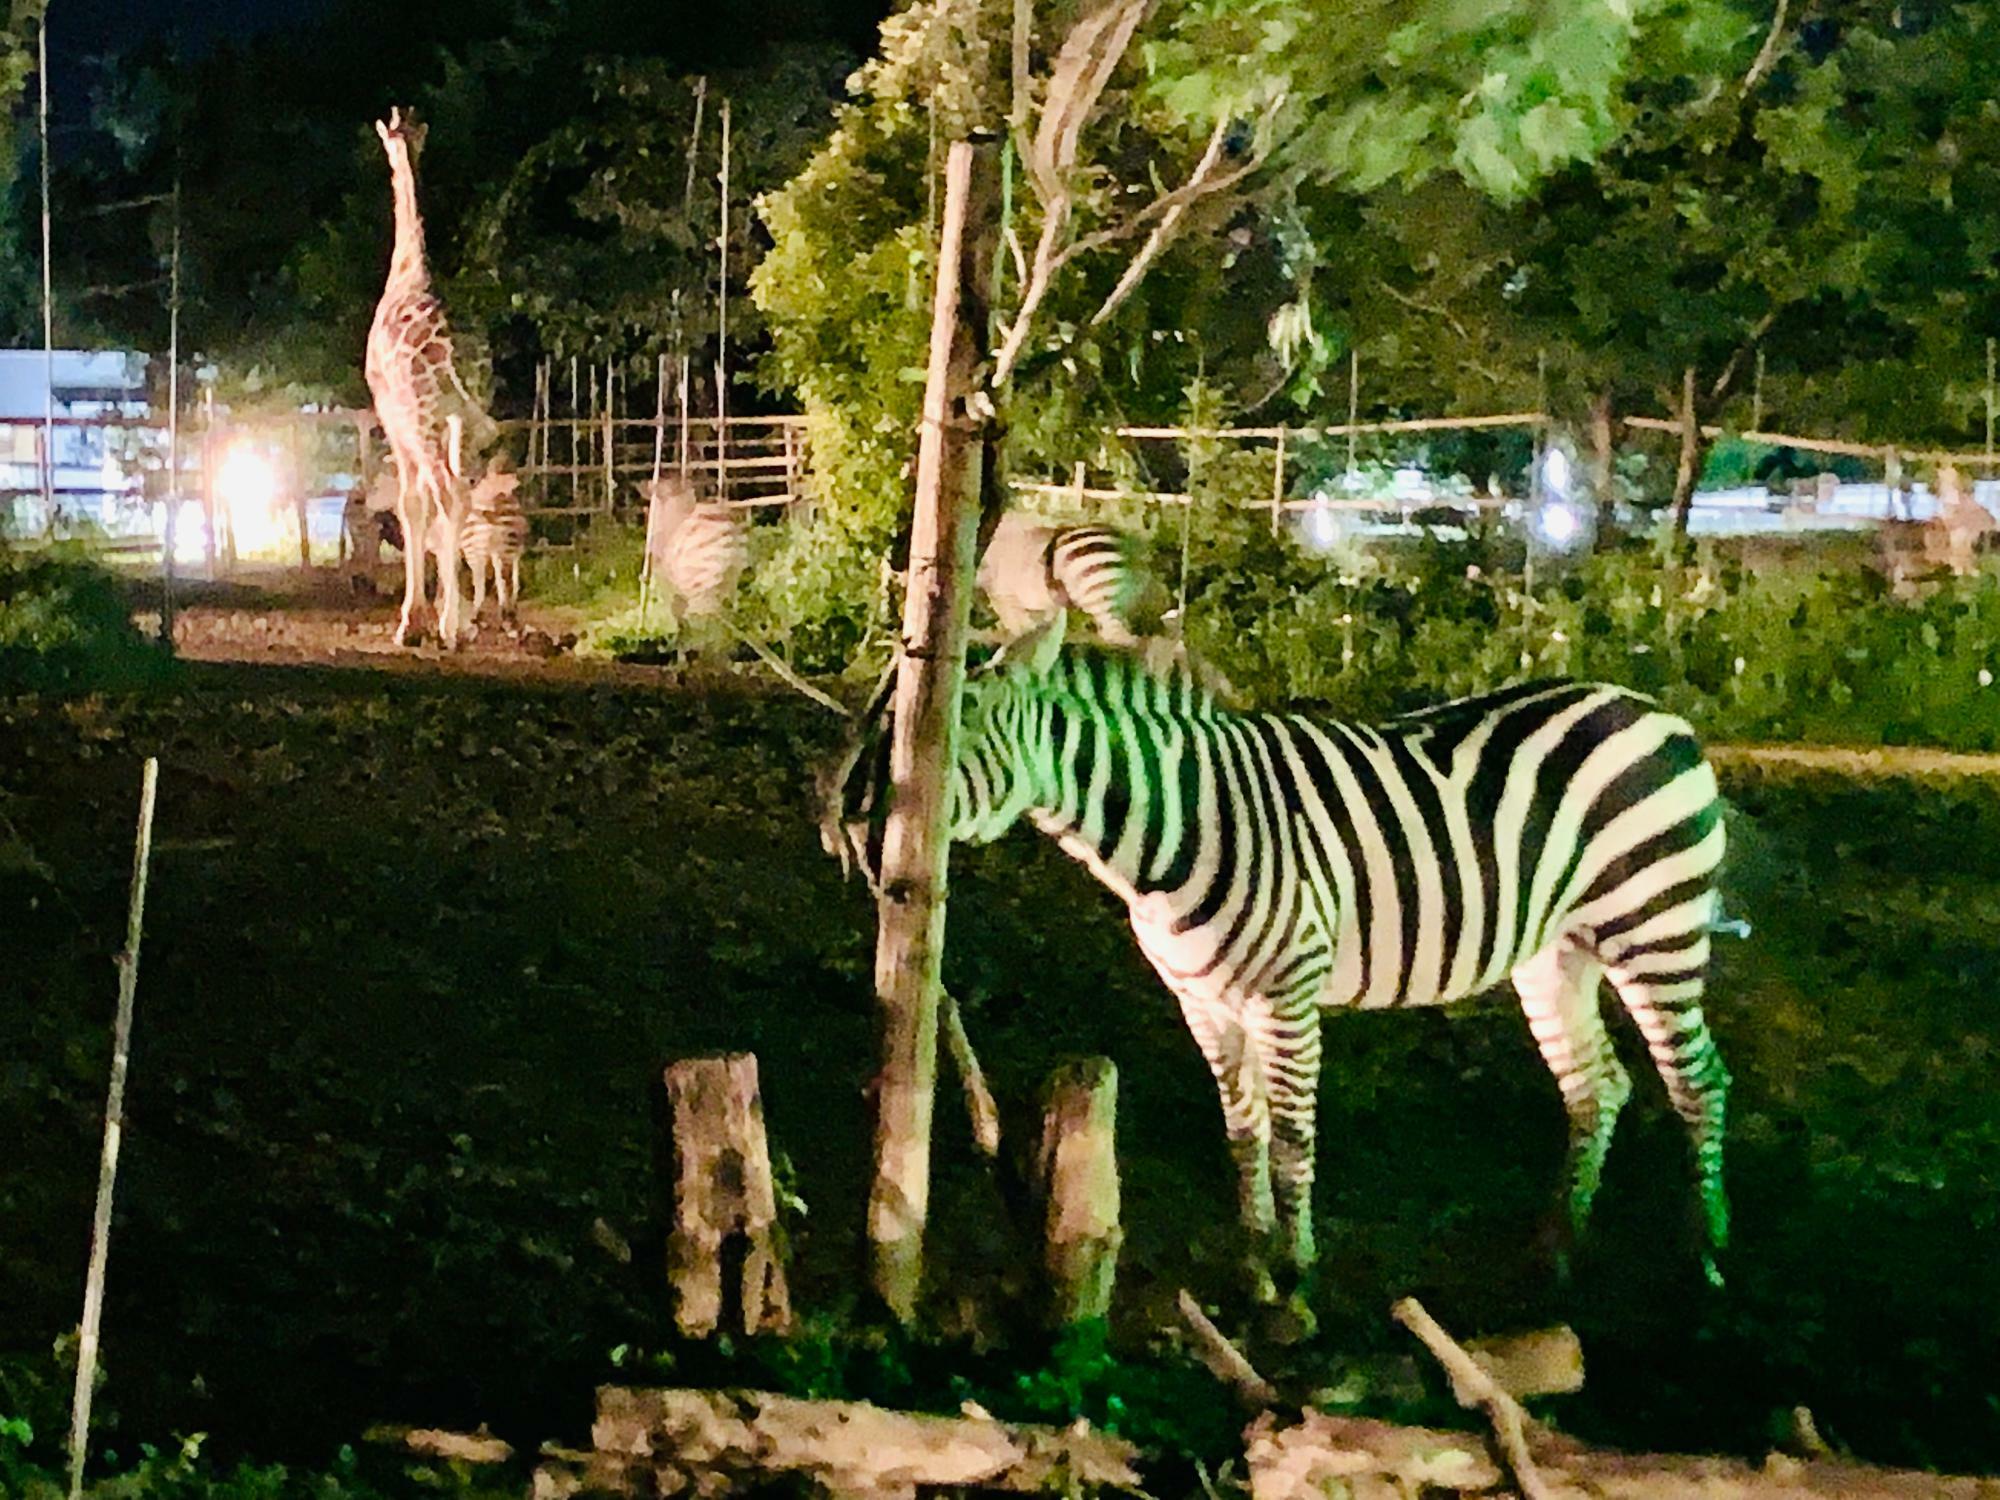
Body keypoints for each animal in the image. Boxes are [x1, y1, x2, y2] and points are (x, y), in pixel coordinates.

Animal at [828, 624, 1736, 1304]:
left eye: (941, 731)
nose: (848, 827)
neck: (1172, 829)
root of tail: (1651, 708)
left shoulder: (1287, 995)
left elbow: (1295, 1134)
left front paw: (1296, 1280)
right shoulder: (1201, 997)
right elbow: (1242, 1129)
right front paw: (1253, 1257)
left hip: (1656, 929)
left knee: (1698, 1081)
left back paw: (1707, 1254)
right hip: (1558, 950)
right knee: (1598, 1086)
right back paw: (1557, 1248)